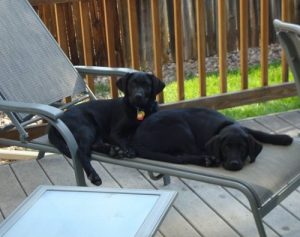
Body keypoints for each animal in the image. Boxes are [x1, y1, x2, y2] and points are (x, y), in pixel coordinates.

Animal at [131, 107, 292, 170]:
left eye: (243, 148)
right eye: (226, 148)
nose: (234, 164)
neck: (225, 126)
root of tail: (137, 139)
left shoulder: (246, 131)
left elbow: (259, 132)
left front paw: (284, 138)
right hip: (181, 128)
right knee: (184, 155)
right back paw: (207, 160)